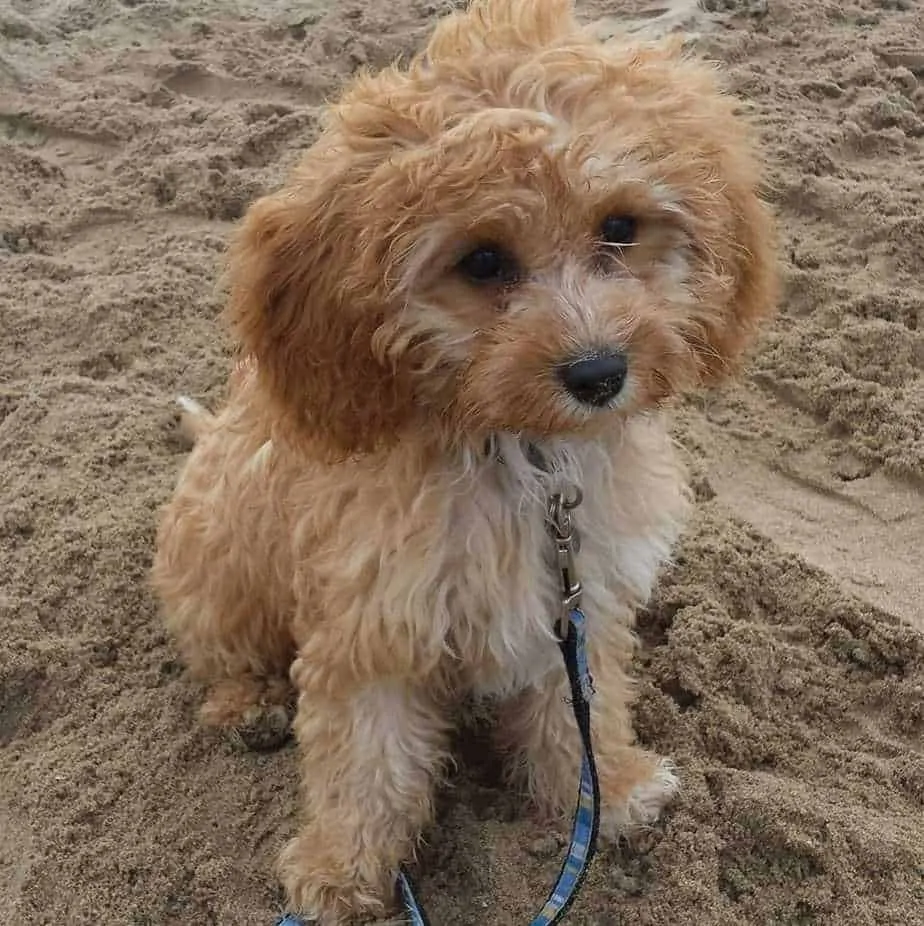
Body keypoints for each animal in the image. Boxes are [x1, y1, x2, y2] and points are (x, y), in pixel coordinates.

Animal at [150, 3, 772, 924]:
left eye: (620, 228)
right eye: (482, 261)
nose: (599, 373)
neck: (521, 454)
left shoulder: (576, 597)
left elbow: (578, 713)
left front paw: (612, 789)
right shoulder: (372, 622)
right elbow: (365, 763)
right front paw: (338, 874)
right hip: (216, 560)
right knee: (221, 647)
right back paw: (246, 705)